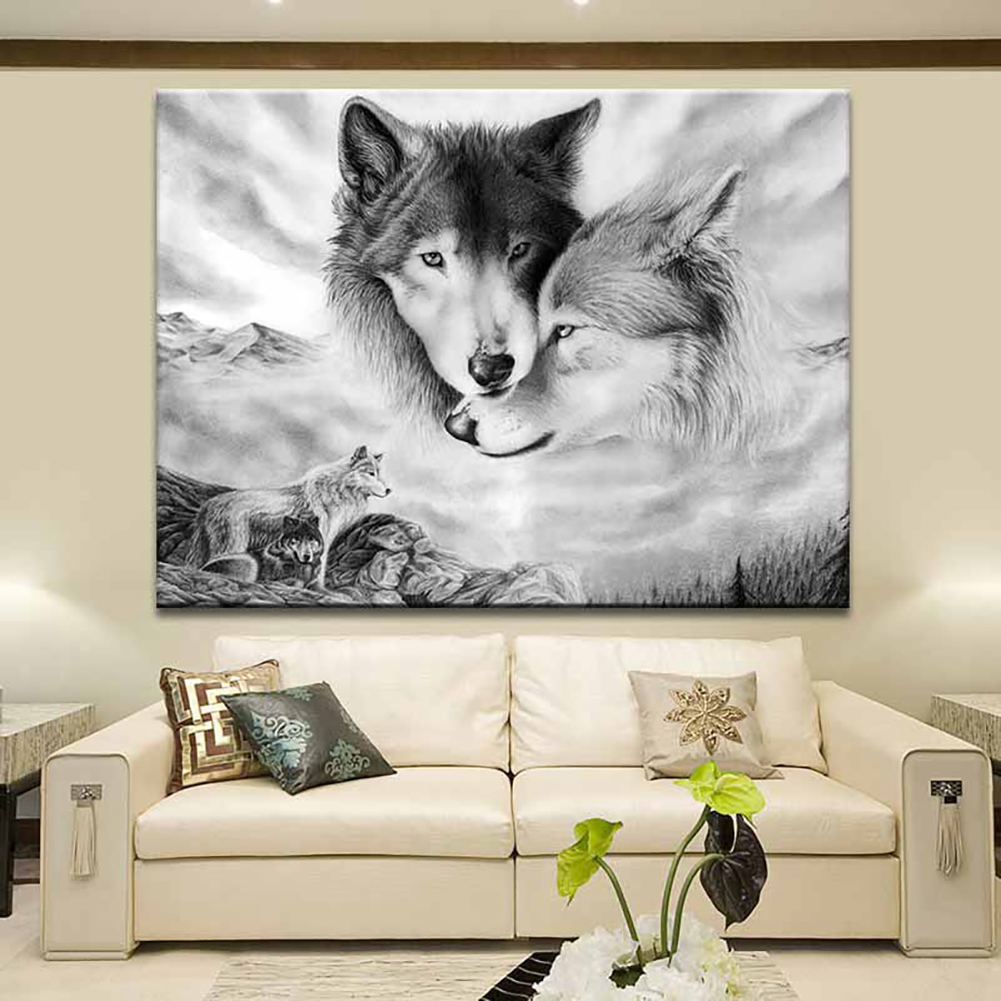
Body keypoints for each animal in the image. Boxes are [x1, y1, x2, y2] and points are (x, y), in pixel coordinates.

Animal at [186, 446, 391, 588]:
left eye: (380, 474)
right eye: (371, 473)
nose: (389, 490)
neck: (338, 489)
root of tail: (207, 505)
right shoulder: (322, 537)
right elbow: (320, 568)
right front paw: (318, 589)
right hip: (232, 547)